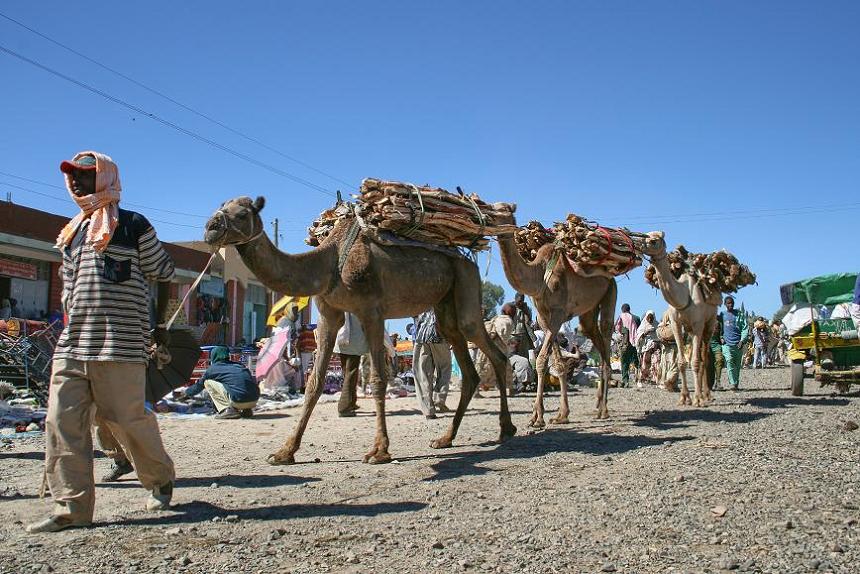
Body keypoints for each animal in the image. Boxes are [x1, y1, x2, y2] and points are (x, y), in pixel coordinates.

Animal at [204, 196, 512, 466]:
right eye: (222, 206)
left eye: (242, 214)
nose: (210, 227)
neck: (328, 262)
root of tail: (468, 257)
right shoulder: (328, 315)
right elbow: (314, 383)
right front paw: (284, 452)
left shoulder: (371, 311)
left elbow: (377, 379)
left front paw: (379, 451)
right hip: (445, 303)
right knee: (466, 362)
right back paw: (446, 438)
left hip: (466, 281)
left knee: (490, 348)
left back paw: (506, 429)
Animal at [494, 234, 616, 428]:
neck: (539, 273)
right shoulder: (543, 316)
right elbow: (558, 364)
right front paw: (561, 416)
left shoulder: (558, 312)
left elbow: (542, 360)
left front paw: (537, 418)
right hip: (589, 311)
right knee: (590, 330)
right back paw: (598, 407)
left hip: (610, 291)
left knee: (606, 333)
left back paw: (604, 411)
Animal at [640, 234, 724, 410]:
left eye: (654, 240)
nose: (640, 244)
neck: (684, 297)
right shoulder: (676, 324)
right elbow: (681, 362)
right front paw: (684, 398)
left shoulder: (698, 324)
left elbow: (696, 362)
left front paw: (697, 399)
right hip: (691, 330)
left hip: (710, 322)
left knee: (704, 357)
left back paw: (707, 395)